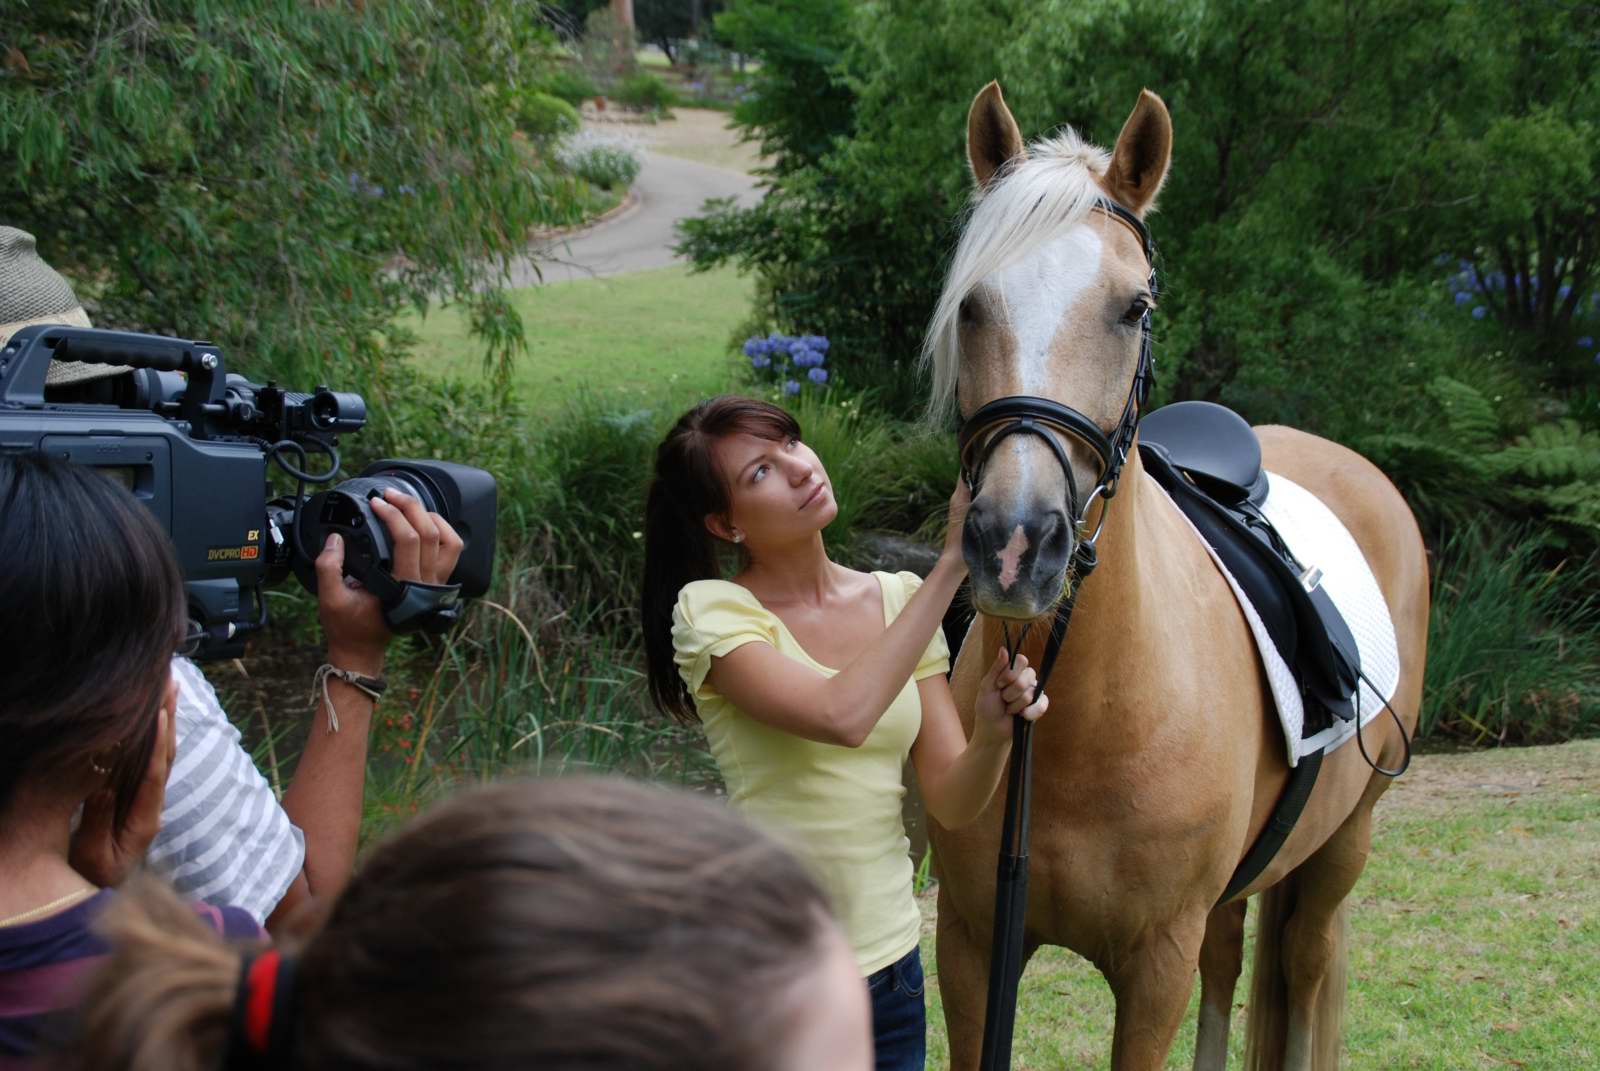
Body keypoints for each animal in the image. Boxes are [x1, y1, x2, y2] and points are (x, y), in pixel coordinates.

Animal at [923, 83, 1428, 1071]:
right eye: (971, 305)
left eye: (1134, 308)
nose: (1014, 543)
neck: (1091, 710)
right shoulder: (970, 944)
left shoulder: (1154, 966)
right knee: (1230, 960)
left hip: (1342, 846)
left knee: (1305, 962)